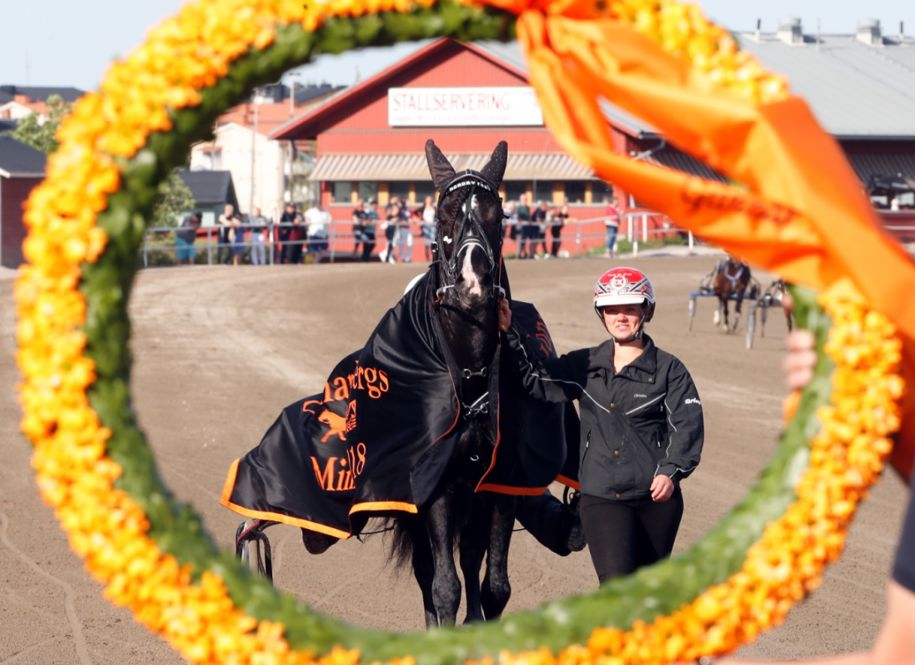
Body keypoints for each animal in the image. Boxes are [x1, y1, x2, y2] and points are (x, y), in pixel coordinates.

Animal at [390, 139, 514, 627]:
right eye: (443, 216)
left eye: (498, 216)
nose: (472, 283)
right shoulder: (436, 486)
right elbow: (444, 586)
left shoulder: (499, 484)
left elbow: (494, 584)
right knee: (430, 571)